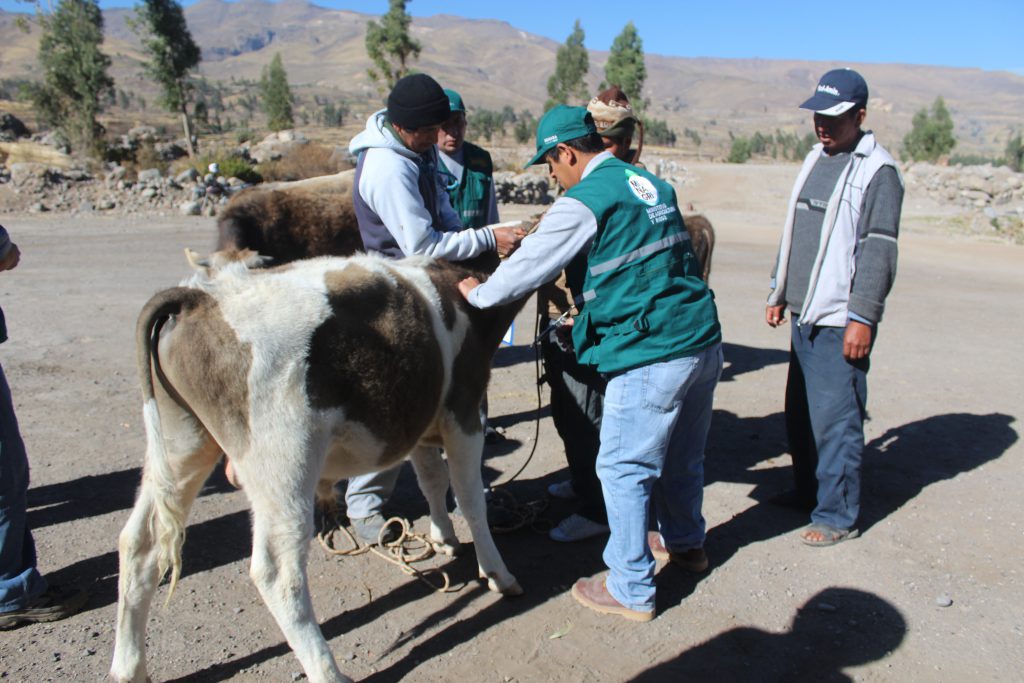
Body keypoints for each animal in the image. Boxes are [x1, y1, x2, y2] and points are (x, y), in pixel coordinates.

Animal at [111, 252, 524, 683]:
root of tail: (201, 296)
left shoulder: (423, 424)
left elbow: (432, 481)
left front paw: (444, 538)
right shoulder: (465, 411)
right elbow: (470, 497)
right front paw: (497, 572)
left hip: (182, 445)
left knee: (139, 543)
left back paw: (129, 667)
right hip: (284, 463)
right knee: (277, 572)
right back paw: (328, 671)